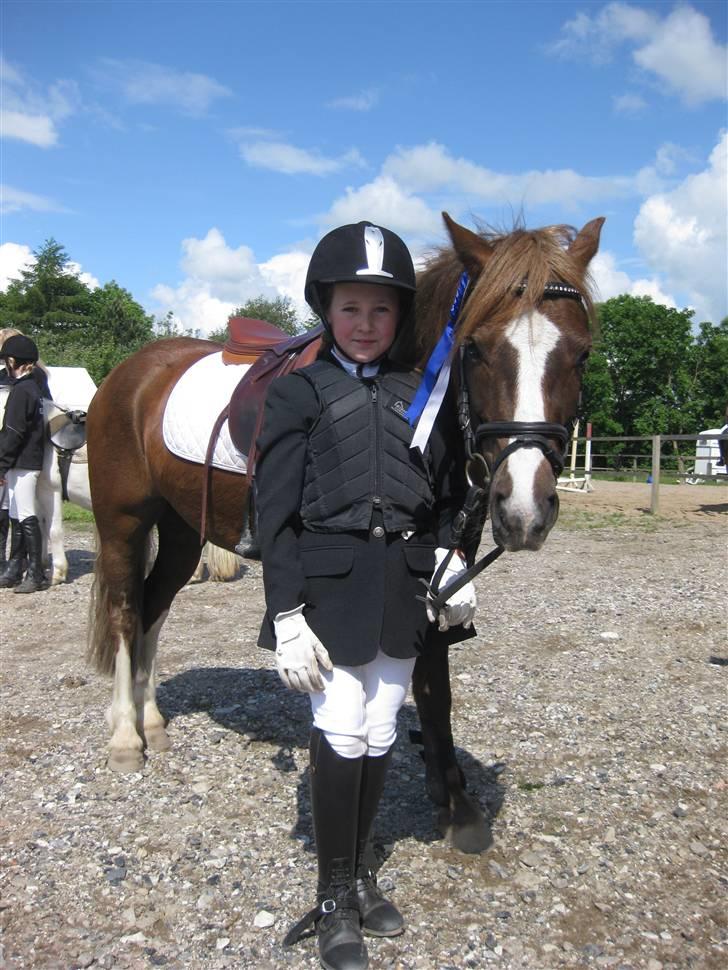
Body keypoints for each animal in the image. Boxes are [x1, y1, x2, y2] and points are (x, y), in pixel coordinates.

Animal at [86, 212, 604, 848]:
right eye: (476, 349)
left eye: (581, 355)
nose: (527, 510)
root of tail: (129, 373)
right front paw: (452, 797)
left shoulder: (438, 561)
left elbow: (434, 680)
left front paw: (450, 793)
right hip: (124, 524)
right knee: (125, 613)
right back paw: (125, 738)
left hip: (183, 532)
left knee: (154, 609)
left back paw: (152, 723)